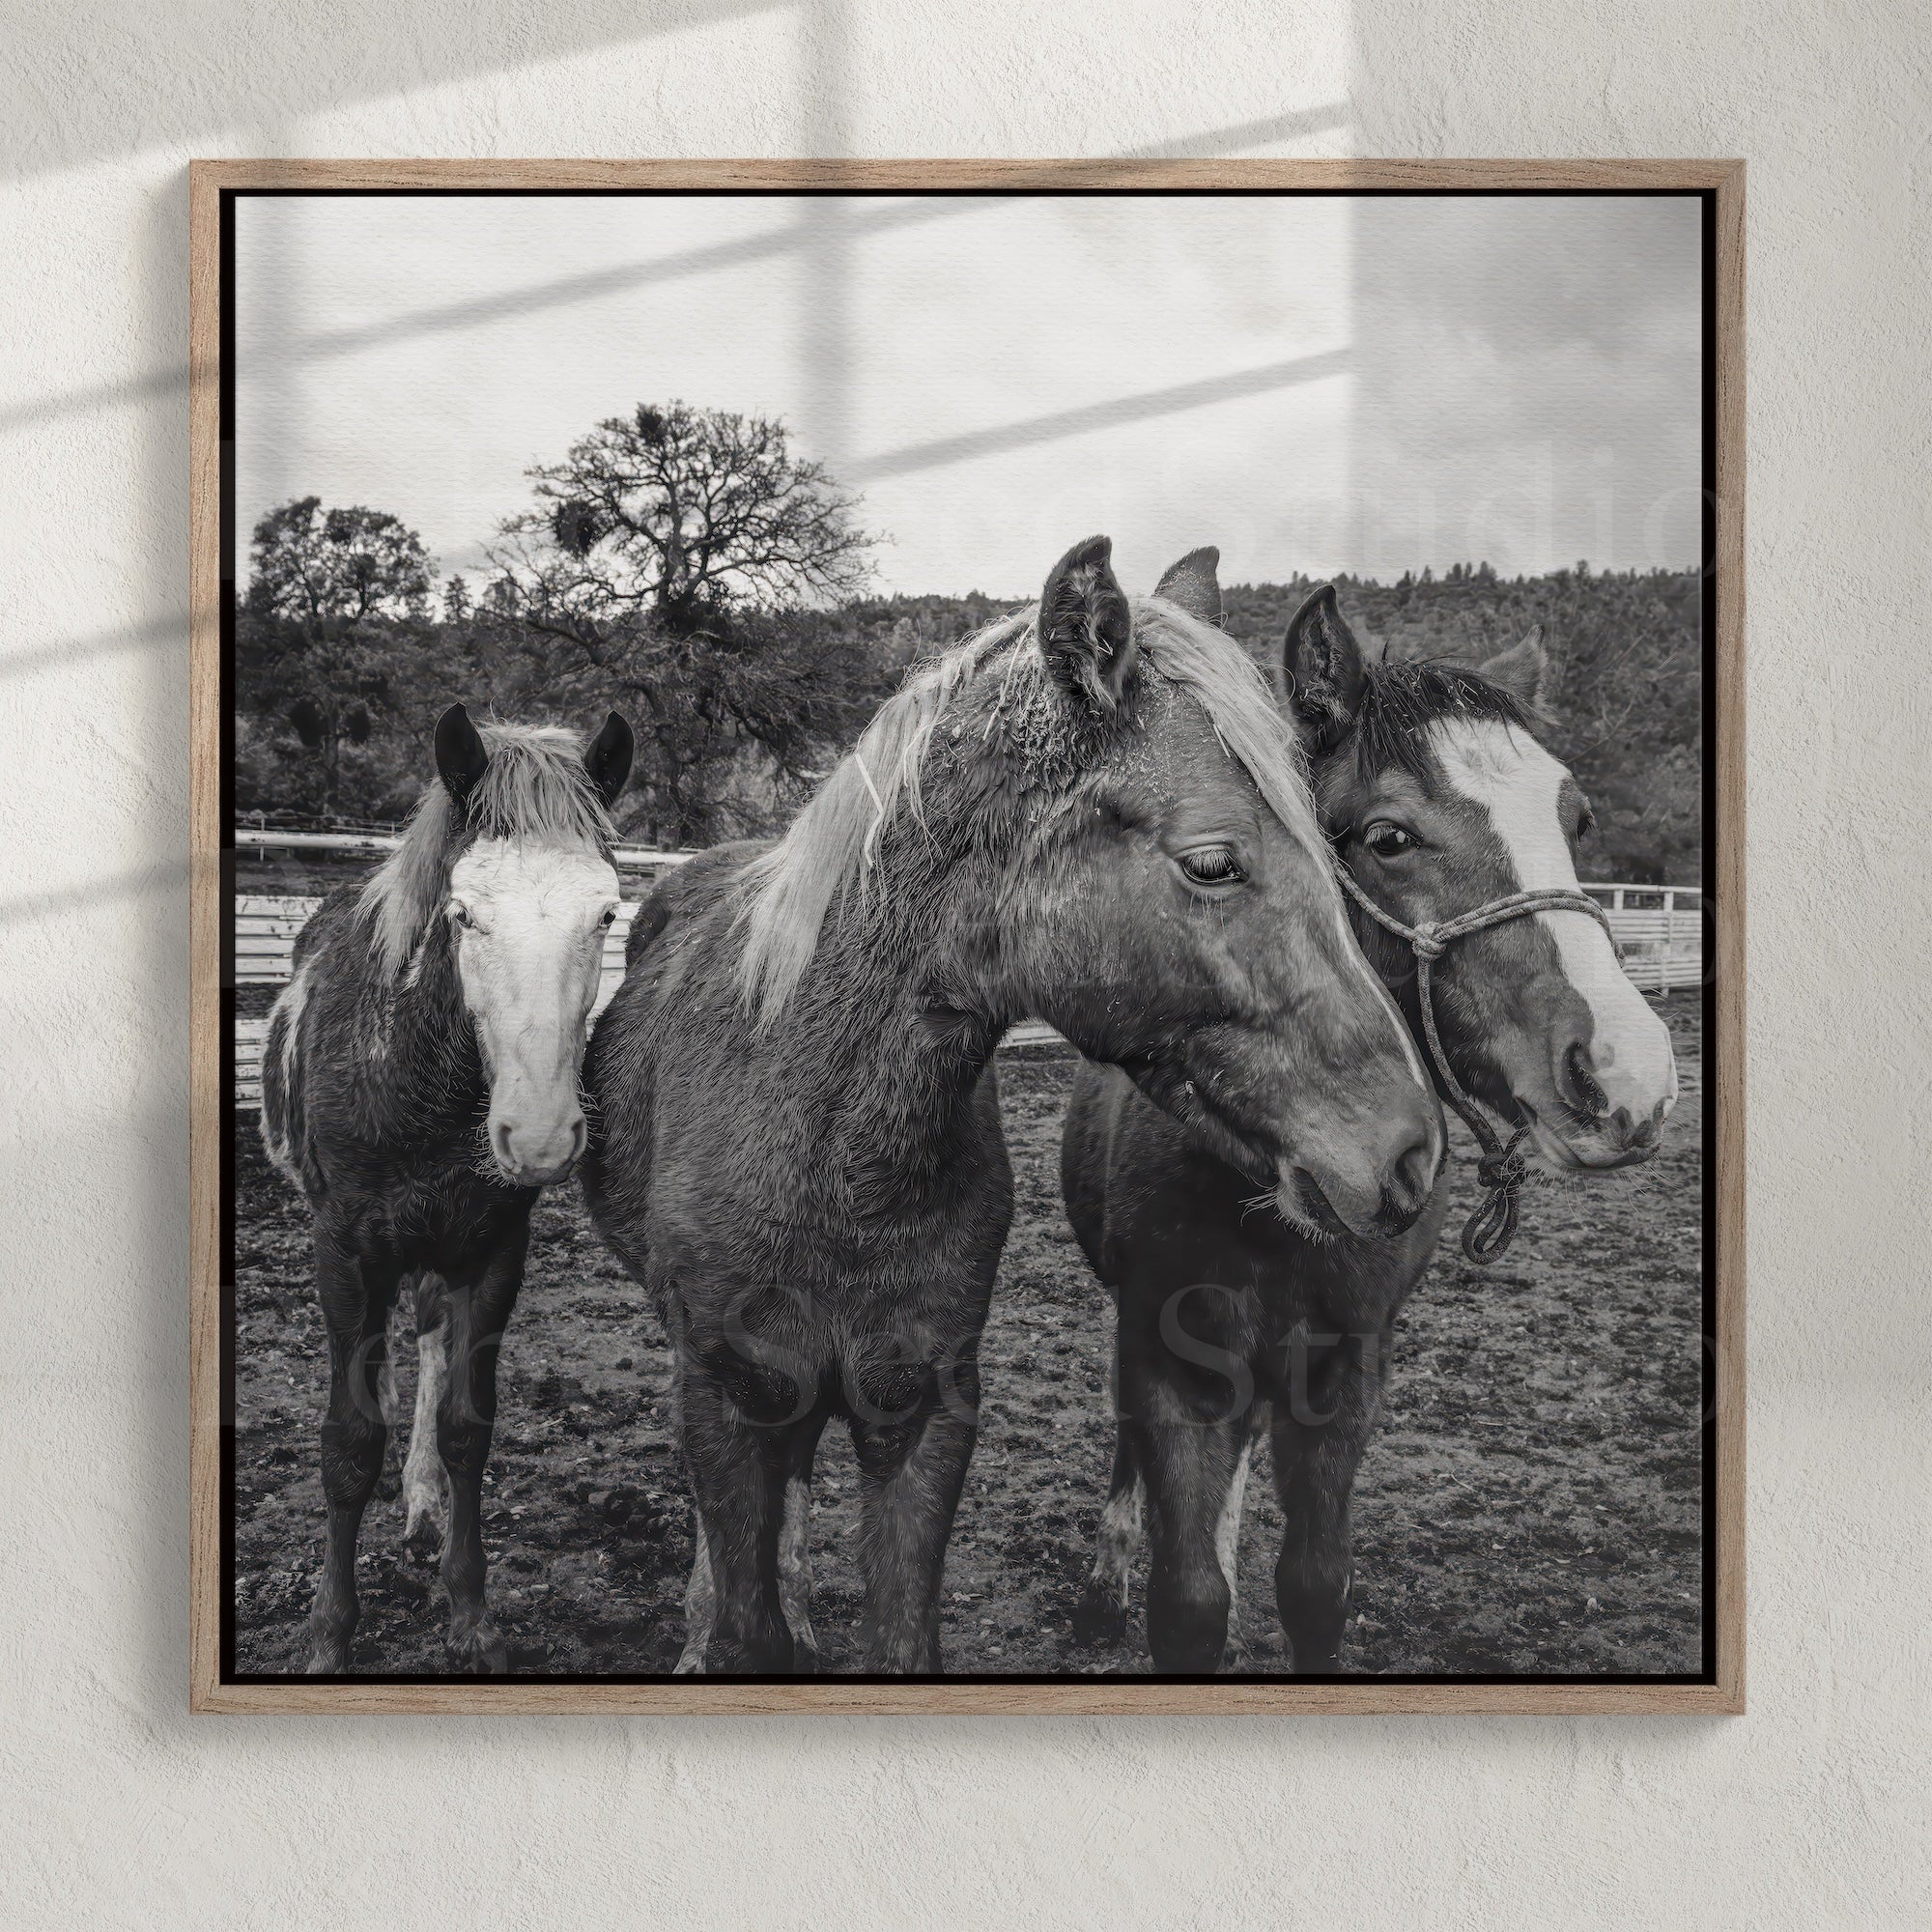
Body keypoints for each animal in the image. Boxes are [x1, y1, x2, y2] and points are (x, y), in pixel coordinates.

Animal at [260, 703, 635, 1672]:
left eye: (605, 912)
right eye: (464, 916)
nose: (538, 1137)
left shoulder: (492, 1252)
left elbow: (469, 1426)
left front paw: (470, 1613)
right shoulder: (343, 1254)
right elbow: (348, 1440)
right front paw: (329, 1632)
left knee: (427, 1348)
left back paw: (424, 1511)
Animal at [580, 536, 1444, 1676]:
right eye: (1213, 862)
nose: (1407, 1149)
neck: (822, 1145)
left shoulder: (924, 1415)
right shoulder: (728, 1402)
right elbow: (744, 1611)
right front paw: (729, 1625)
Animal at [1063, 583, 1679, 1673]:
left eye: (1576, 817)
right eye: (1388, 838)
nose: (1626, 1074)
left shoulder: (1344, 1371)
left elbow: (1313, 1587)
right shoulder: (1170, 1360)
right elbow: (1187, 1600)